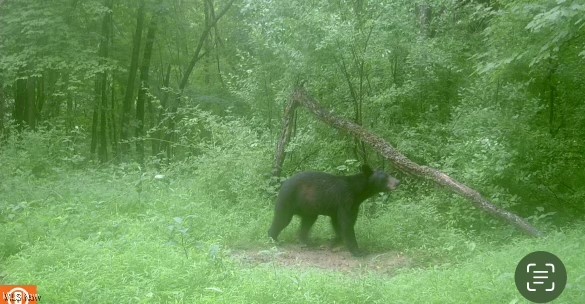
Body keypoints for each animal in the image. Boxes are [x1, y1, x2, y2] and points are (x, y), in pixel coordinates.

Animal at [266, 165, 400, 255]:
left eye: (389, 174)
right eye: (385, 177)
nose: (398, 182)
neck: (358, 192)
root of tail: (284, 183)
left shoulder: (348, 206)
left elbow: (339, 223)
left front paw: (333, 242)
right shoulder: (345, 200)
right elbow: (346, 223)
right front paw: (358, 252)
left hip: (309, 209)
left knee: (307, 222)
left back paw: (306, 241)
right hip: (288, 199)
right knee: (282, 218)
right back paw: (274, 239)